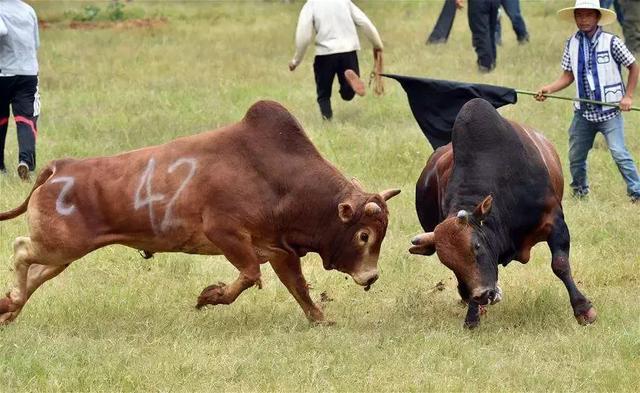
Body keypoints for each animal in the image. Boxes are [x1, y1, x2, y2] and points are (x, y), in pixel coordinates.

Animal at [0, 100, 400, 324]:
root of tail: (60, 167)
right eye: (364, 235)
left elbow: (297, 287)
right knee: (21, 251)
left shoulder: (280, 250)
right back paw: (13, 301)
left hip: (62, 253)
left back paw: (8, 308)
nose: (371, 277)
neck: (281, 179)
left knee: (35, 273)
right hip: (60, 245)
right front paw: (210, 296)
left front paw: (320, 319)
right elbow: (249, 275)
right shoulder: (225, 234)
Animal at [410, 98, 596, 328]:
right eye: (447, 261)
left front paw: (583, 309)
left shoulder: (555, 221)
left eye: (477, 246)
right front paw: (472, 317)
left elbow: (560, 265)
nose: (482, 295)